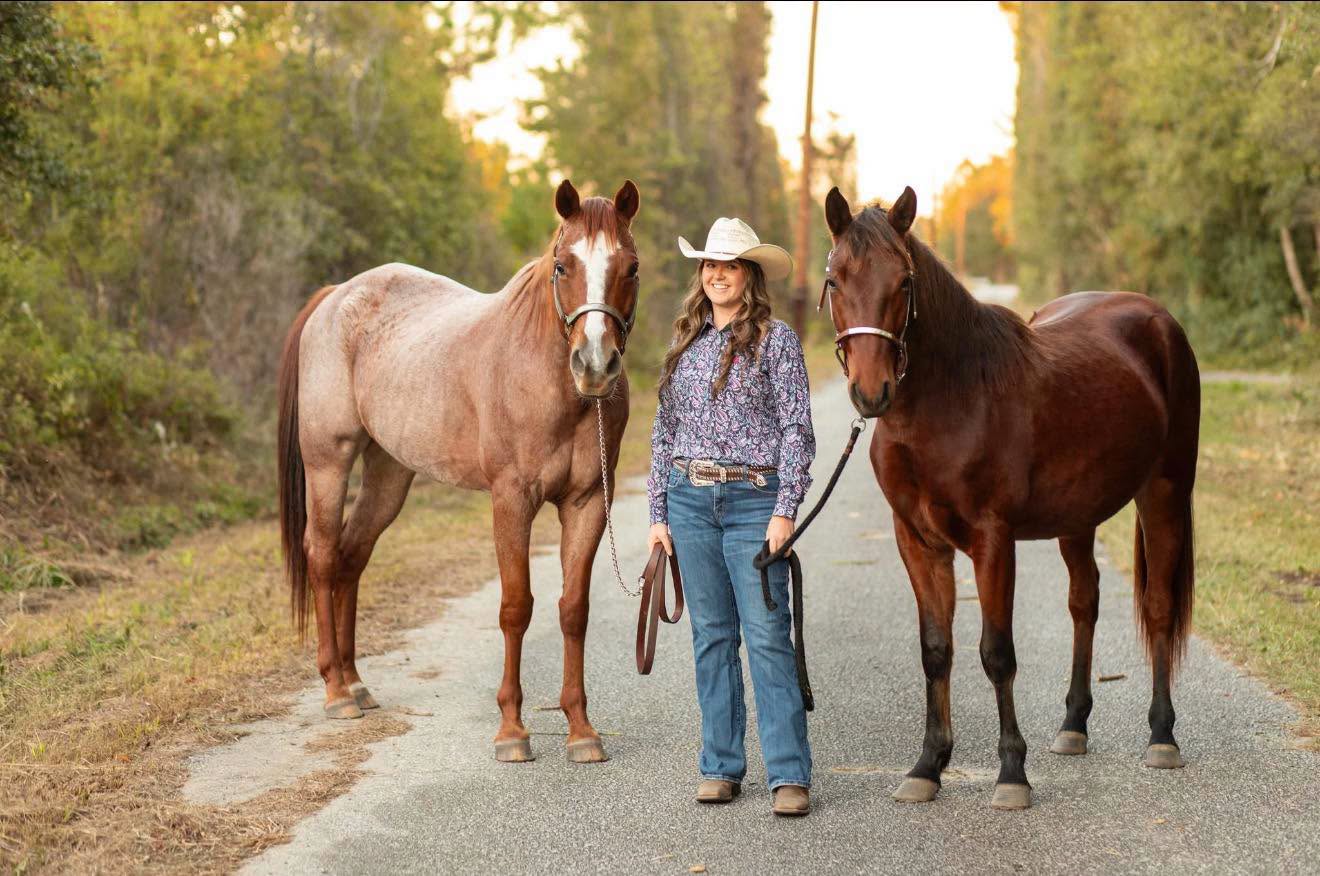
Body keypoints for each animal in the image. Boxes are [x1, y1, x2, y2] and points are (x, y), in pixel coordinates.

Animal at [277, 179, 641, 764]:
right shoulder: (511, 500)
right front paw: (512, 731)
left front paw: (581, 731)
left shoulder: (586, 503)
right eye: (562, 265)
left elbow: (573, 609)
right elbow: (516, 607)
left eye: (630, 266)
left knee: (353, 556)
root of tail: (335, 297)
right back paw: (336, 691)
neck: (547, 380)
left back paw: (356, 682)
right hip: (328, 462)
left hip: (389, 473)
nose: (594, 365)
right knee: (325, 557)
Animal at [820, 185, 1199, 810]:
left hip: (1165, 492)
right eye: (834, 279)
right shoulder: (917, 541)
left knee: (1160, 605)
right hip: (1078, 516)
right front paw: (927, 766)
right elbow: (936, 650)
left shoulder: (993, 540)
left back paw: (1163, 736)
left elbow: (997, 653)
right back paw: (1073, 727)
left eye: (904, 282)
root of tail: (1159, 320)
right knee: (1084, 602)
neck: (950, 399)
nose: (871, 392)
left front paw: (1012, 774)